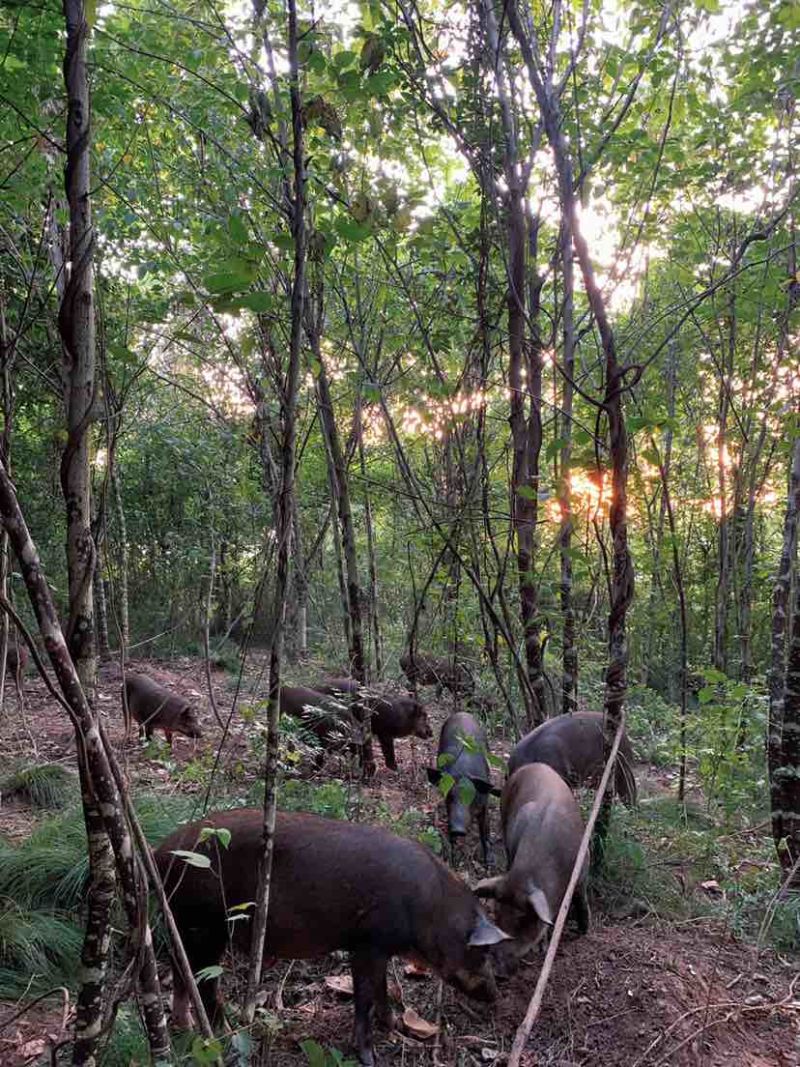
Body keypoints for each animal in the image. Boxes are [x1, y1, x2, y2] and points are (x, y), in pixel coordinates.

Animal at [156, 802, 509, 1062]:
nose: (495, 995)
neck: (431, 911)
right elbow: (364, 996)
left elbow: (381, 989)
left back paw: (185, 1027)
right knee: (204, 981)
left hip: (182, 923)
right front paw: (368, 1057)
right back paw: (224, 1032)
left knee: (180, 970)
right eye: (483, 951)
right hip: (208, 925)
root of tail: (161, 853)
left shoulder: (379, 949)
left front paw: (393, 1026)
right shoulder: (367, 943)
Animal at [426, 712, 501, 862]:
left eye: (470, 797)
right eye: (449, 796)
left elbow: (484, 829)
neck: (463, 771)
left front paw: (490, 862)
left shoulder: (484, 803)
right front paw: (452, 859)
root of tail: (462, 713)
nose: (458, 830)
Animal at [475, 763, 588, 973]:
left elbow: (581, 899)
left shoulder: (583, 867)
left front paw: (584, 931)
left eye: (522, 920)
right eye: (496, 913)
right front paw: (541, 948)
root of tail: (532, 765)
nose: (495, 967)